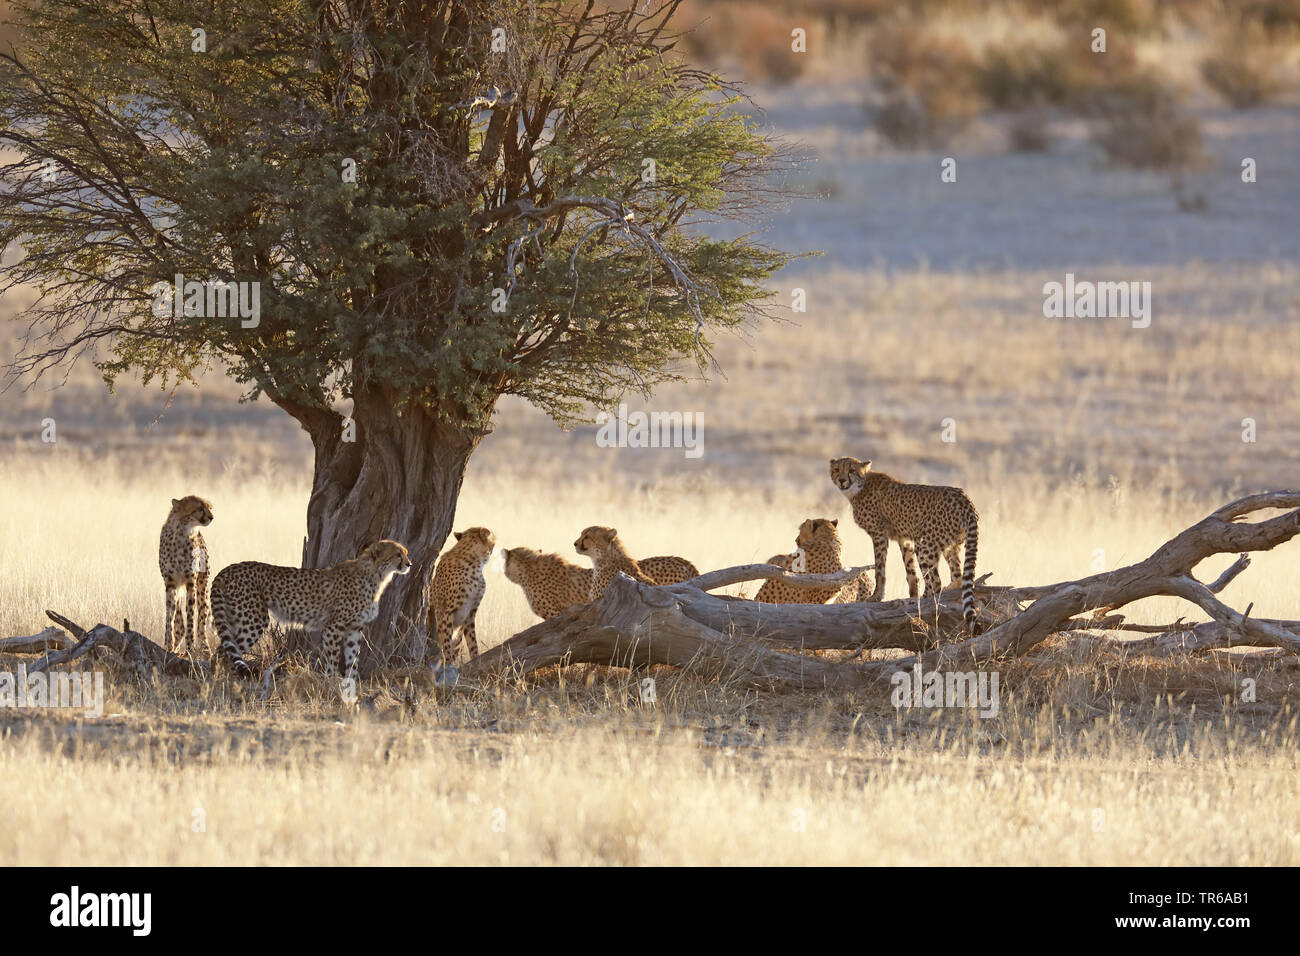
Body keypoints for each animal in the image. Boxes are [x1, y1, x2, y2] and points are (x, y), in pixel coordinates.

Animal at [161, 494, 214, 658]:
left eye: (209, 507)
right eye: (199, 508)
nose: (212, 517)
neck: (182, 531)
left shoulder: (191, 582)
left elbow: (191, 616)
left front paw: (190, 648)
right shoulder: (170, 583)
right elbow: (169, 616)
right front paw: (168, 645)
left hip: (202, 586)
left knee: (201, 620)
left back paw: (205, 648)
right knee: (179, 621)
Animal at [210, 538, 408, 702]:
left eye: (405, 553)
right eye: (398, 554)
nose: (409, 563)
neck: (375, 574)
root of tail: (226, 569)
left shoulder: (354, 628)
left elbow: (353, 660)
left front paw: (350, 687)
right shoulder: (333, 627)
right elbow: (332, 660)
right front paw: (330, 684)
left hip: (236, 618)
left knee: (222, 649)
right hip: (254, 620)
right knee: (224, 653)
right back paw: (226, 684)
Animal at [423, 528, 493, 671]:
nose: (493, 547)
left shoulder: (471, 613)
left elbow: (472, 641)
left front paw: (476, 660)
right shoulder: (445, 612)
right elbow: (446, 641)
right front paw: (449, 664)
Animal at [826, 457, 977, 632]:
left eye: (851, 470)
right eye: (837, 469)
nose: (842, 480)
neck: (859, 488)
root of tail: (964, 497)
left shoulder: (879, 534)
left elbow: (880, 569)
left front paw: (877, 596)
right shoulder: (904, 538)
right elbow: (911, 571)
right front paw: (911, 595)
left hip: (924, 544)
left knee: (936, 582)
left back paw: (921, 601)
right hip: (949, 545)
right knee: (958, 577)